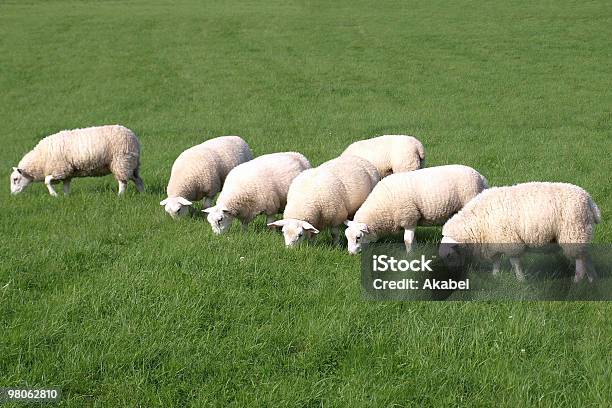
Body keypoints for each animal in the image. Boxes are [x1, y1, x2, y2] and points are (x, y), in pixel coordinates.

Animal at [10, 124, 144, 196]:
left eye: (15, 179)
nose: (12, 194)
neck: (40, 160)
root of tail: (134, 137)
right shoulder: (67, 173)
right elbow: (66, 186)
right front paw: (66, 197)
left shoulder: (60, 170)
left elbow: (47, 181)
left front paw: (54, 195)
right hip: (132, 164)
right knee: (138, 179)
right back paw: (142, 194)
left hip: (121, 162)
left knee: (123, 182)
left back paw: (120, 196)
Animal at [344, 163, 488, 253]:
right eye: (346, 237)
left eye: (358, 237)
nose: (351, 254)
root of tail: (481, 177)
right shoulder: (411, 220)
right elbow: (413, 240)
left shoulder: (409, 217)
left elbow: (407, 240)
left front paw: (409, 255)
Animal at [440, 182, 604, 282]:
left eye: (449, 256)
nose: (449, 277)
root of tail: (589, 200)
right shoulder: (494, 242)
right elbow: (496, 261)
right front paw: (495, 276)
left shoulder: (510, 240)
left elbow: (515, 263)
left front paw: (521, 280)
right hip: (581, 234)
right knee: (586, 257)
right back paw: (593, 279)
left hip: (573, 234)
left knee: (580, 262)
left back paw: (577, 281)